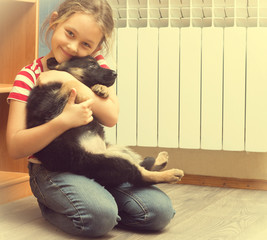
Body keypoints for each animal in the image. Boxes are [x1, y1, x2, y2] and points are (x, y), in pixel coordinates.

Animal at [26, 55, 184, 187]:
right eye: (91, 65)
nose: (115, 73)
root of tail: (100, 151)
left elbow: (76, 83)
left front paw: (100, 89)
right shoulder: (47, 108)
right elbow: (70, 82)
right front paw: (85, 93)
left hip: (119, 150)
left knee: (143, 166)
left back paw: (162, 160)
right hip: (110, 160)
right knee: (142, 176)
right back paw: (171, 174)